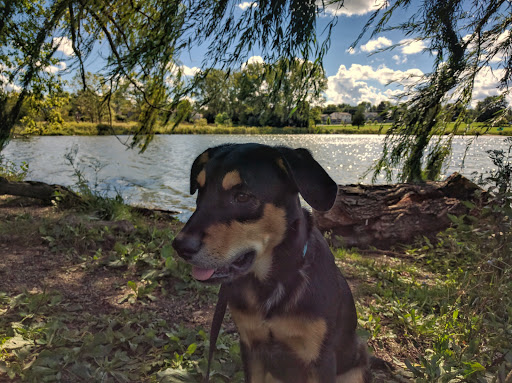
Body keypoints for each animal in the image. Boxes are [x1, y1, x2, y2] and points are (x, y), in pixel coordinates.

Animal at [174, 144, 370, 383]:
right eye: (200, 190)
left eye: (242, 196)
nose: (180, 246)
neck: (272, 281)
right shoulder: (251, 347)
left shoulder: (320, 359)